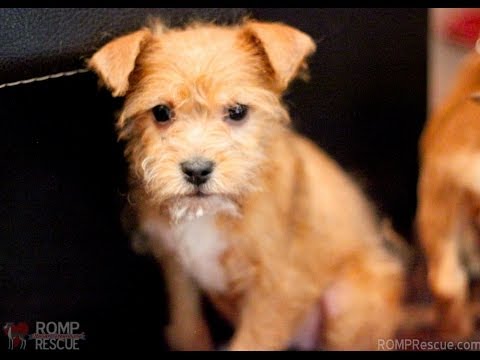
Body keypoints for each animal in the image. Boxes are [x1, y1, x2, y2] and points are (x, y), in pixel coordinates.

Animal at [88, 19, 404, 348]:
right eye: (161, 112)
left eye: (237, 111)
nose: (197, 171)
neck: (213, 212)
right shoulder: (177, 267)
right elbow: (188, 326)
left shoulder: (276, 288)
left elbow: (252, 340)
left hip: (348, 301)